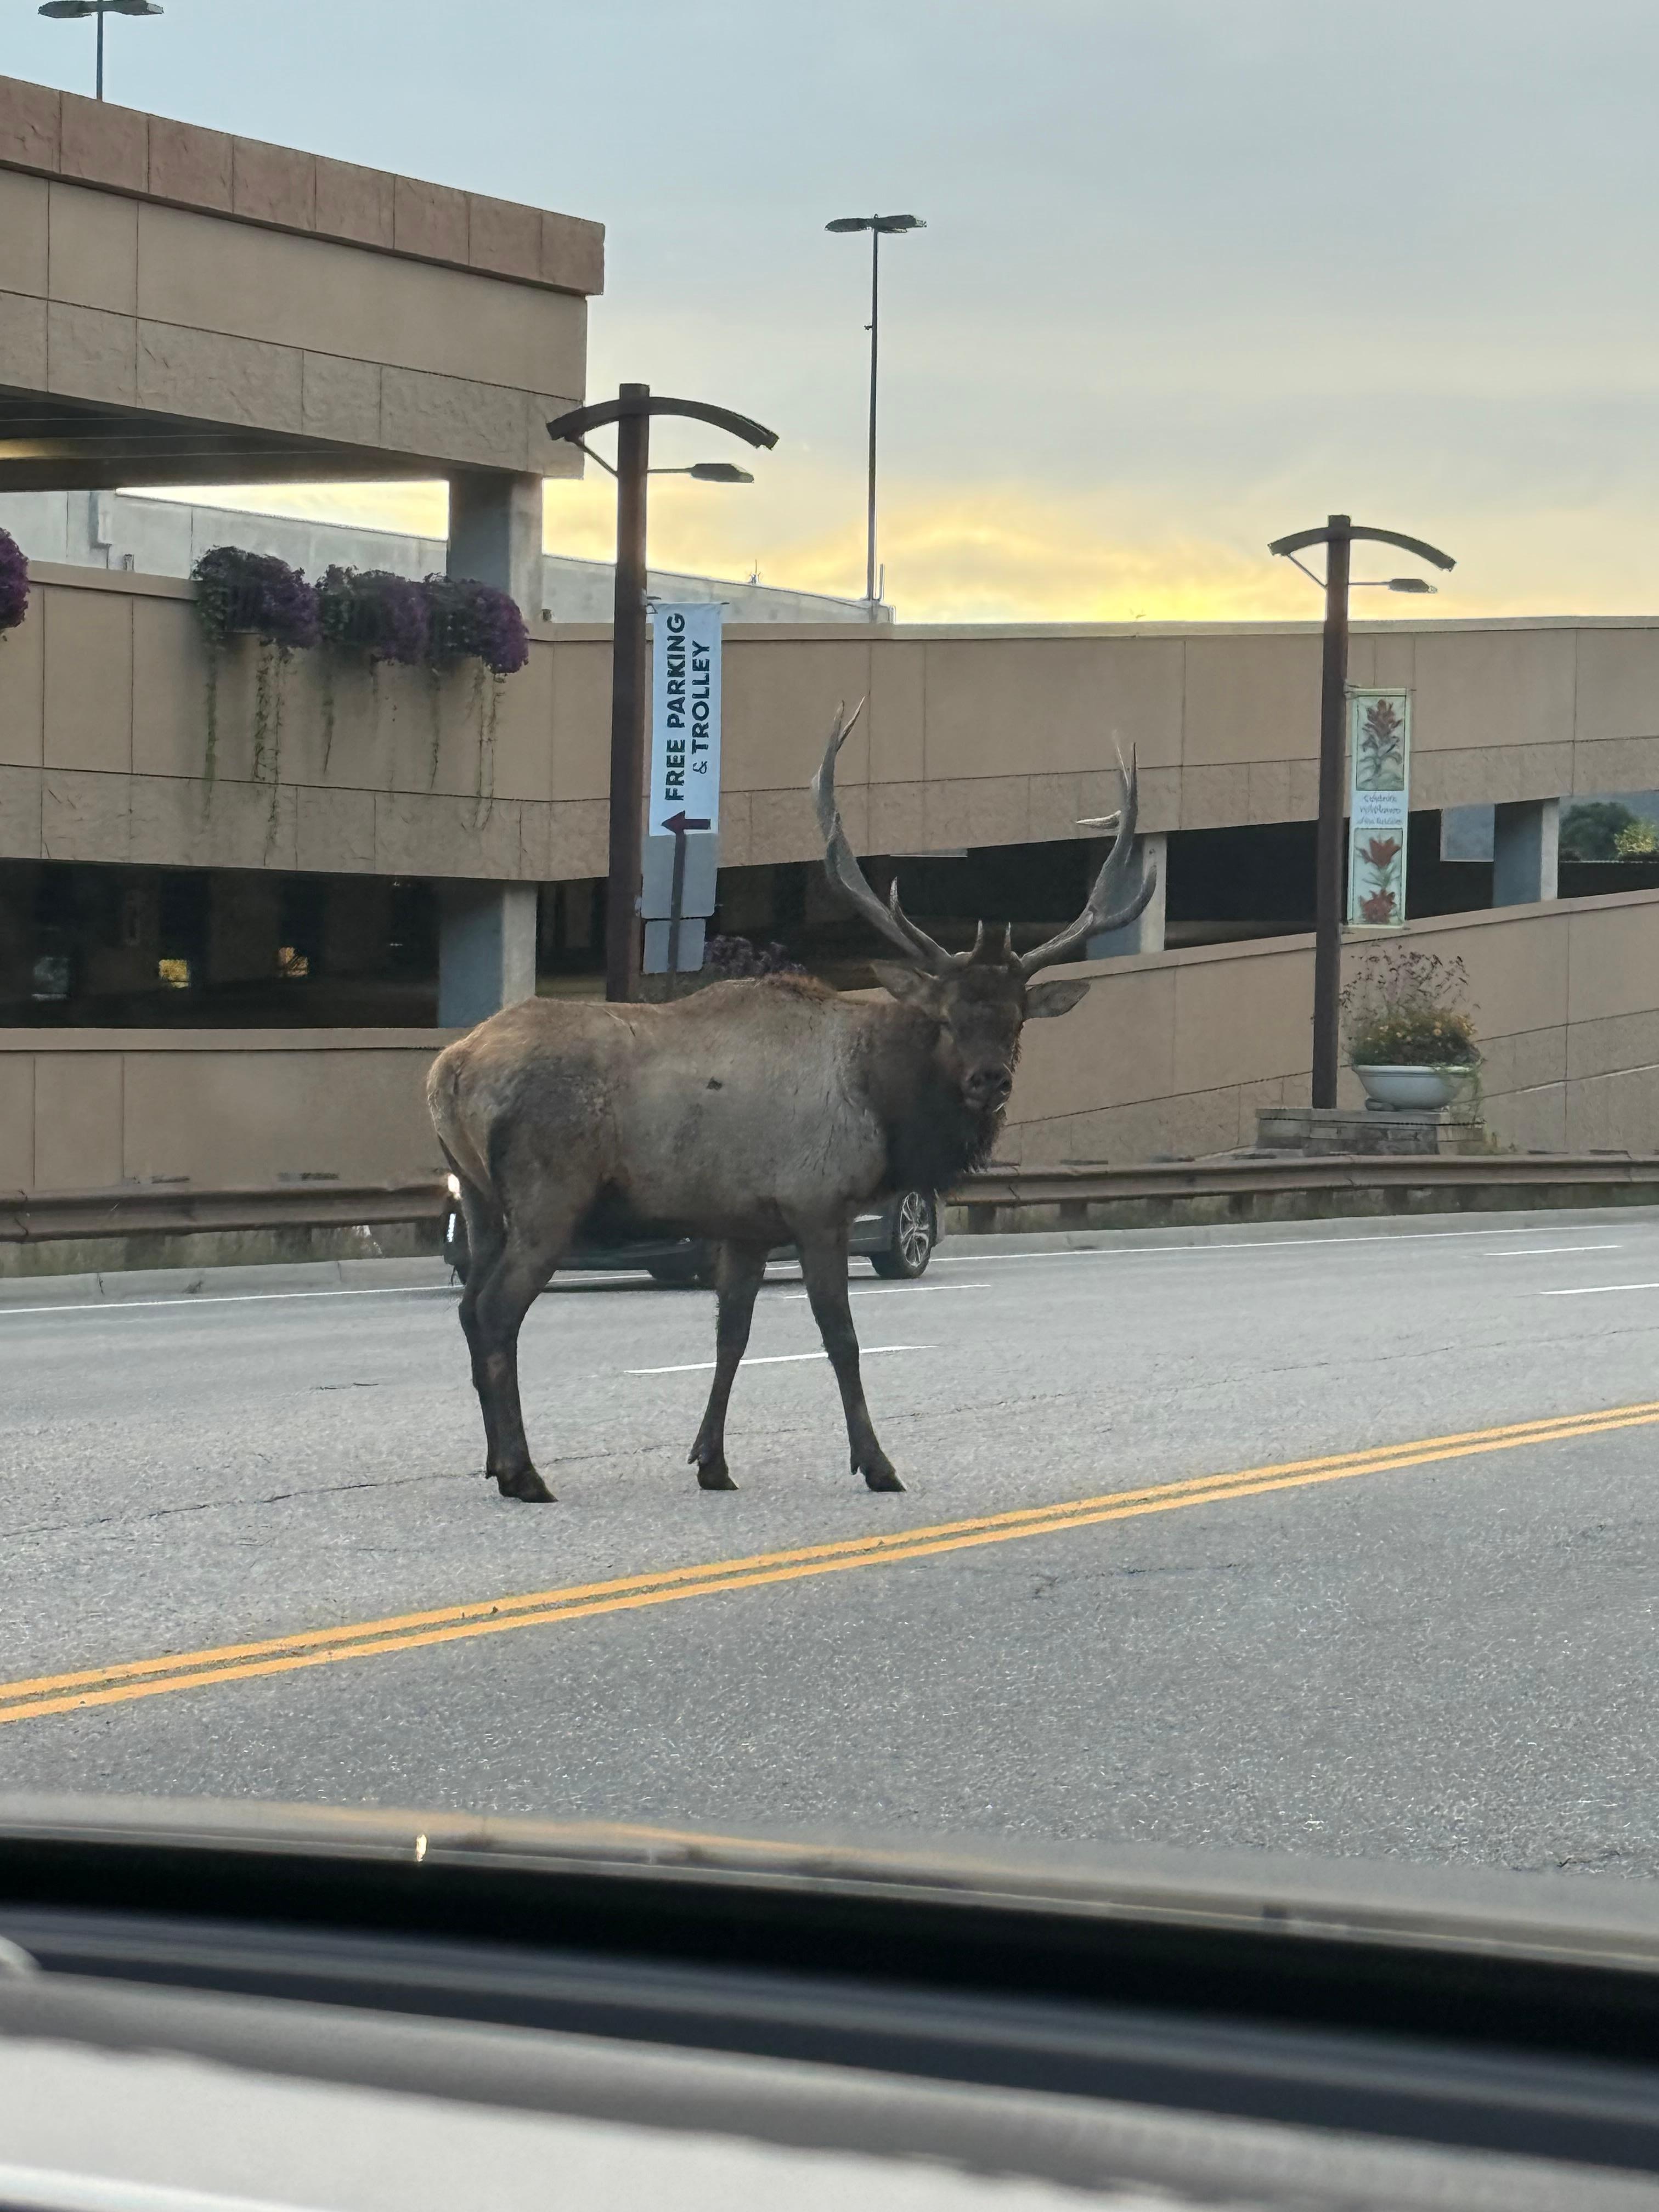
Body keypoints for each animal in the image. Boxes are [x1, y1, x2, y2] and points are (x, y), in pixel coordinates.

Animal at [427, 704, 1154, 1503]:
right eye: (946, 1016)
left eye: (1017, 1019)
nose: (989, 1080)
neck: (883, 1105)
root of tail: (450, 1069)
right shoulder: (818, 1203)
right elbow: (841, 1339)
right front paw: (877, 1464)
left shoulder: (746, 1223)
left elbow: (732, 1336)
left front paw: (711, 1461)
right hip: (549, 1191)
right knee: (497, 1311)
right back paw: (523, 1472)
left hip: (480, 1199)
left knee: (468, 1306)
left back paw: (497, 1460)